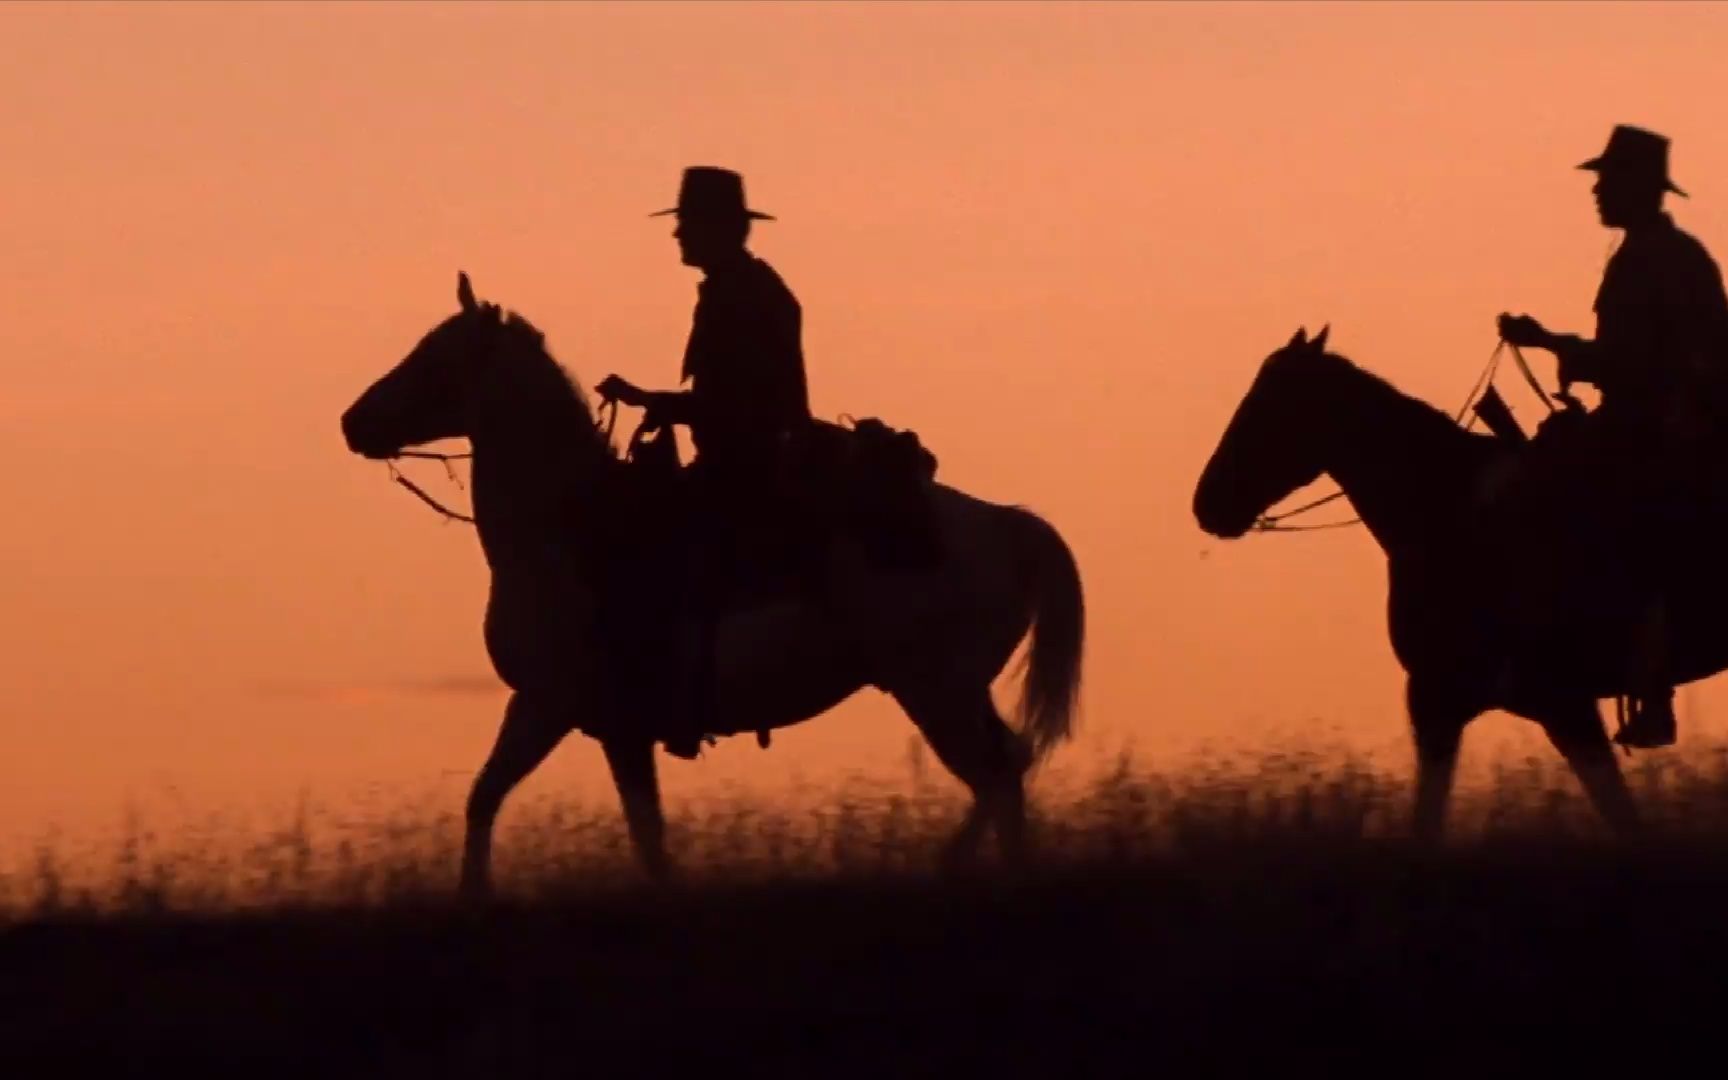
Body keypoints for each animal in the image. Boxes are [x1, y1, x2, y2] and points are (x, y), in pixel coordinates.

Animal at [336, 271, 1078, 891]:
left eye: (433, 356)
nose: (353, 421)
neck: (569, 528)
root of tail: (1005, 524)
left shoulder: (549, 704)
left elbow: (494, 800)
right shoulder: (611, 728)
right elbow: (635, 834)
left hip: (935, 688)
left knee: (996, 775)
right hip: (953, 690)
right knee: (1006, 772)